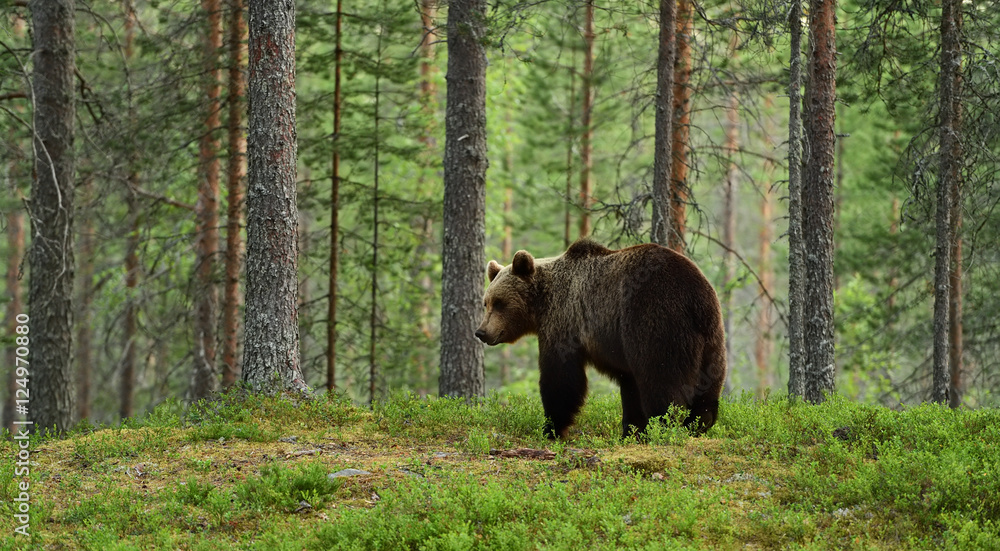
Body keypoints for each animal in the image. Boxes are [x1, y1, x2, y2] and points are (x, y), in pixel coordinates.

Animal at [476, 239, 728, 438]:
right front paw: (631, 430)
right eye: (486, 302)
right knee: (708, 386)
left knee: (662, 382)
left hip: (656, 322)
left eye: (500, 303)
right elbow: (630, 387)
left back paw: (665, 425)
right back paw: (698, 424)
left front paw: (552, 428)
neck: (542, 304)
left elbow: (561, 379)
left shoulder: (565, 323)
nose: (481, 332)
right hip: (711, 338)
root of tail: (695, 296)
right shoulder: (620, 348)